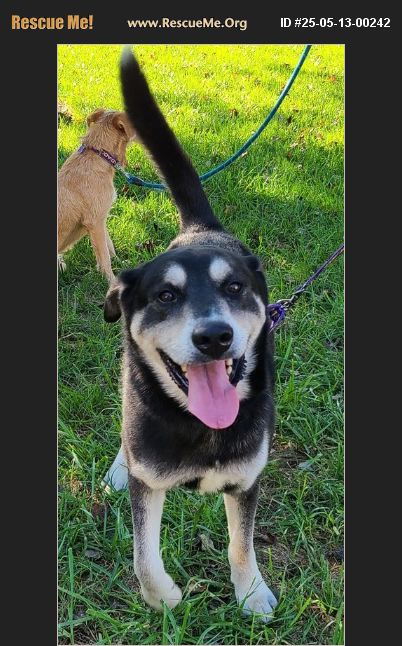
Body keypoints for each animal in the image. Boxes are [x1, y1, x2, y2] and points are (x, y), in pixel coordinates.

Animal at [58, 108, 135, 282]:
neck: (99, 155)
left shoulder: (101, 218)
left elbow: (110, 246)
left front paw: (120, 263)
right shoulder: (95, 222)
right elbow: (104, 257)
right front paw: (112, 282)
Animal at [102, 49, 278, 621]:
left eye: (235, 287)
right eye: (165, 296)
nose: (214, 337)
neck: (201, 425)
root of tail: (201, 230)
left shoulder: (246, 478)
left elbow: (241, 542)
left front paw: (250, 592)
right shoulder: (150, 481)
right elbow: (143, 554)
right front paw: (163, 598)